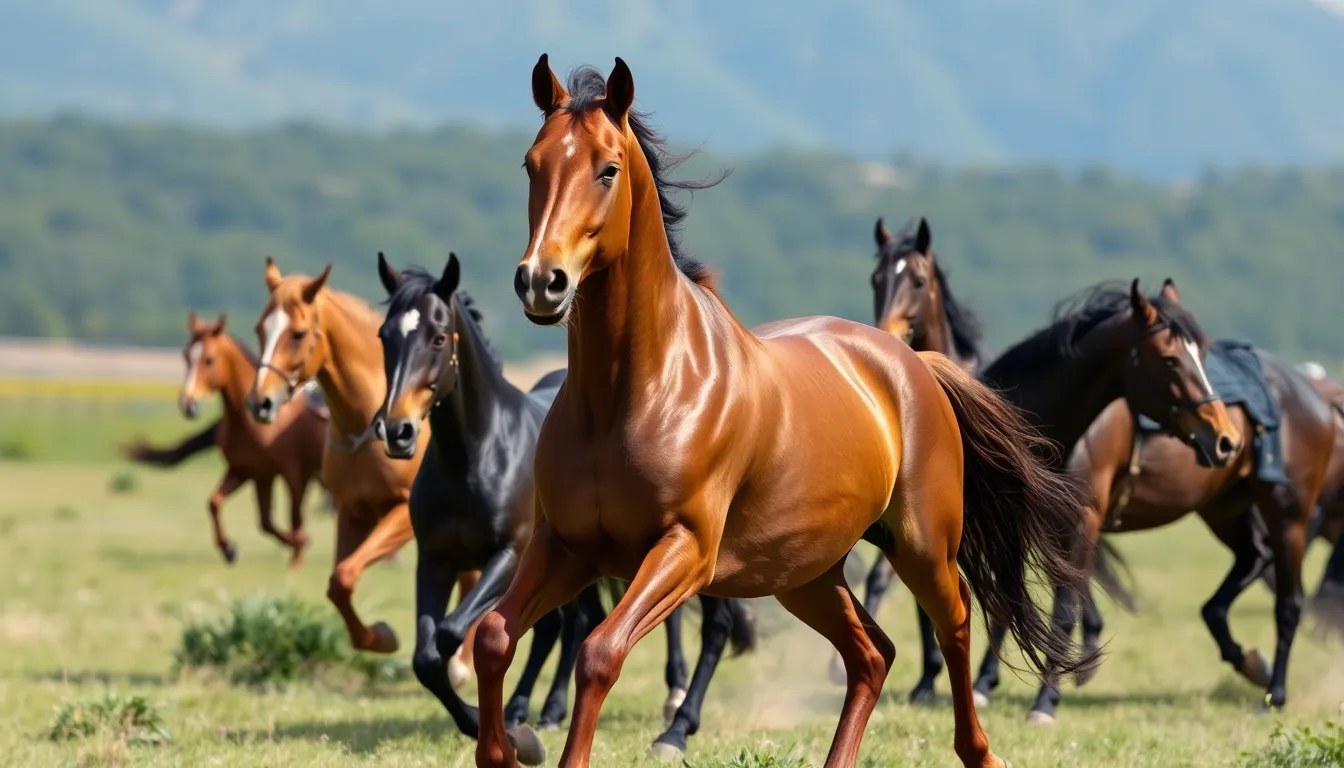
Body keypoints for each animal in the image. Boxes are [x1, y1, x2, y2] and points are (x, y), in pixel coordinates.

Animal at [123, 310, 326, 567]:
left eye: (209, 359)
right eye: (186, 356)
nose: (188, 404)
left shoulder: (295, 474)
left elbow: (295, 521)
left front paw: (297, 556)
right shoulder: (251, 473)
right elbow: (225, 506)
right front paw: (229, 549)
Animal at [246, 258, 478, 676]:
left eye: (298, 333)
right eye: (261, 328)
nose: (261, 403)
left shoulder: (403, 515)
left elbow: (346, 573)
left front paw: (386, 636)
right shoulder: (351, 511)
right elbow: (339, 582)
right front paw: (378, 637)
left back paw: (462, 663)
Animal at [470, 55, 1102, 768]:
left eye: (607, 168)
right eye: (532, 164)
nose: (540, 281)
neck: (634, 394)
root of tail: (914, 365)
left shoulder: (685, 549)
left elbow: (599, 653)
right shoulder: (565, 545)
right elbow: (492, 637)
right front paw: (503, 748)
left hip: (921, 548)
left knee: (957, 621)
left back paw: (981, 750)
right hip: (806, 573)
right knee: (872, 654)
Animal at [971, 280, 1332, 723]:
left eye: (1202, 355)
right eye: (1171, 359)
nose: (1227, 439)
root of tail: (1315, 396)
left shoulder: (1082, 520)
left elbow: (1065, 609)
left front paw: (1045, 702)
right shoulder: (1019, 519)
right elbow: (1008, 603)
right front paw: (982, 686)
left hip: (1288, 514)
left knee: (1289, 603)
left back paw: (1275, 693)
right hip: (1224, 508)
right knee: (1249, 564)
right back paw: (1249, 663)